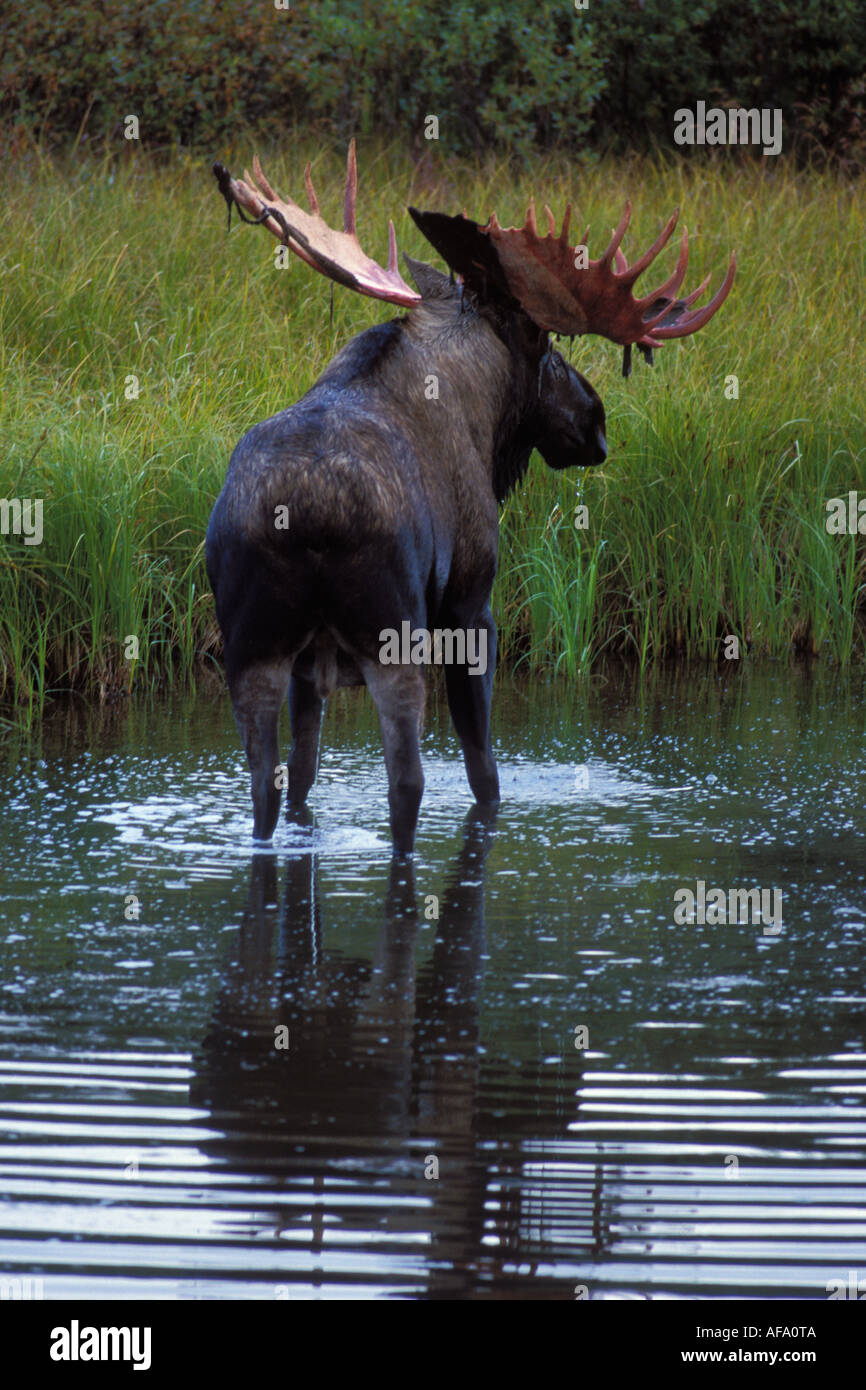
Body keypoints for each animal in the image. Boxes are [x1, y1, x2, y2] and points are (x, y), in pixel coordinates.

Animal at [207, 143, 735, 854]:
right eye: (549, 347)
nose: (596, 420)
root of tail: (305, 514)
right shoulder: (471, 602)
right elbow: (484, 767)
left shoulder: (302, 667)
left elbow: (305, 775)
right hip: (391, 631)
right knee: (408, 780)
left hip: (251, 646)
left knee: (267, 788)